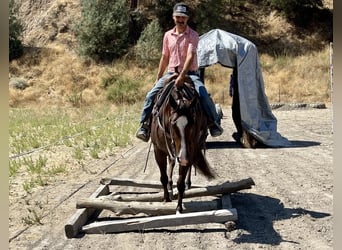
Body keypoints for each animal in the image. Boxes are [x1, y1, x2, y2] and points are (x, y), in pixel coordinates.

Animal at [150, 73, 214, 213]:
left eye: (192, 123)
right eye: (173, 123)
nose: (183, 157)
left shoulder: (188, 151)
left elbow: (180, 182)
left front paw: (179, 207)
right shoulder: (158, 150)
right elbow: (163, 177)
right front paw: (166, 198)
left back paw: (187, 183)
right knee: (172, 163)